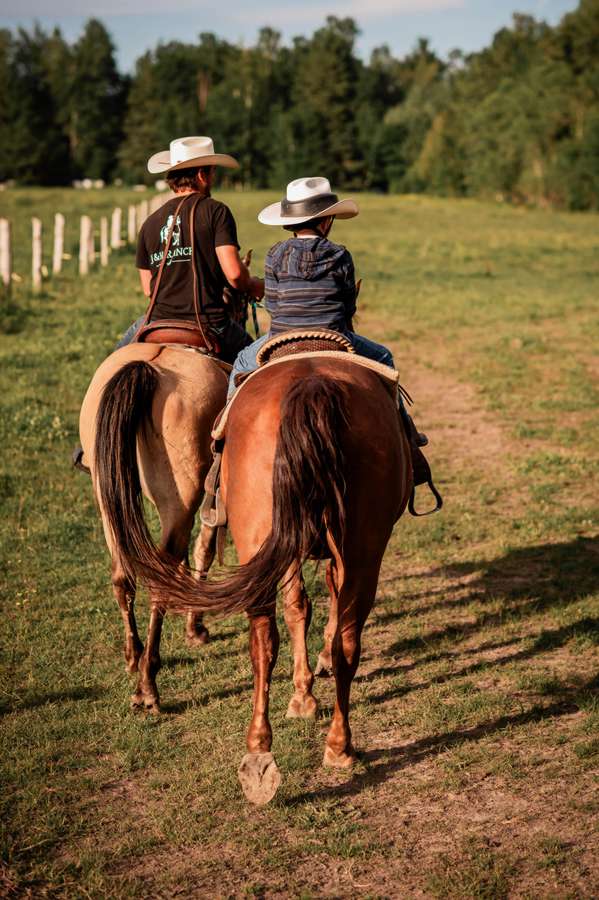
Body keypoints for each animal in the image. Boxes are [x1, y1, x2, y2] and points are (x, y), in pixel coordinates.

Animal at [78, 342, 229, 712]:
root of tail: (149, 369)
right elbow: (203, 550)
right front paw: (195, 626)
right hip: (182, 499)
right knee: (162, 577)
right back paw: (148, 682)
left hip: (108, 498)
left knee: (123, 576)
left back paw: (134, 656)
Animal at [119, 352, 414, 800]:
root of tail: (312, 386)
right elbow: (302, 607)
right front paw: (305, 692)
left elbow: (298, 609)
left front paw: (304, 692)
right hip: (358, 549)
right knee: (335, 642)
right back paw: (335, 746)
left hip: (270, 538)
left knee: (263, 642)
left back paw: (263, 751)